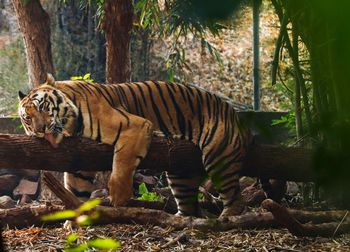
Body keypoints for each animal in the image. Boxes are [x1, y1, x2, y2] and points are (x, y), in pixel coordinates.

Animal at [18, 74, 249, 218]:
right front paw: (73, 220)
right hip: (180, 173)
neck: (71, 126)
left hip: (219, 156)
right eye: (27, 119)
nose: (39, 129)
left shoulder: (133, 126)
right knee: (188, 205)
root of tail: (231, 109)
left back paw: (227, 218)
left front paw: (119, 196)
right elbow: (75, 192)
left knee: (235, 198)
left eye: (42, 106)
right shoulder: (82, 163)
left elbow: (122, 163)